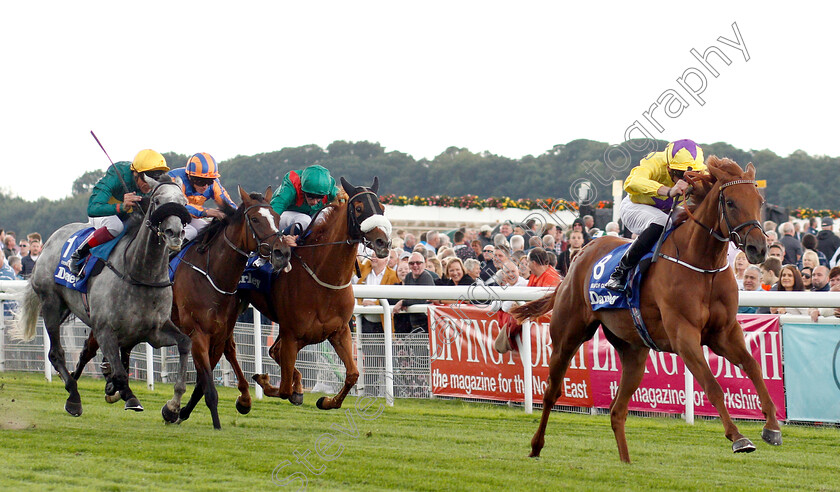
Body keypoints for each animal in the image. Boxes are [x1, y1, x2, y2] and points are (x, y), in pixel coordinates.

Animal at [13, 175, 194, 420]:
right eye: (157, 201)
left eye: (184, 202)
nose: (175, 233)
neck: (139, 273)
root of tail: (50, 240)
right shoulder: (105, 330)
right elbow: (120, 373)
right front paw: (127, 395)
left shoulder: (155, 330)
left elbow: (184, 343)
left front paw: (172, 405)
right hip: (50, 302)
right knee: (56, 353)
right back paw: (73, 396)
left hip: (65, 309)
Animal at [72, 186, 290, 428]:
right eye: (255, 219)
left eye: (277, 218)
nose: (282, 252)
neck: (212, 275)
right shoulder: (198, 333)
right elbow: (207, 384)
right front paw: (211, 421)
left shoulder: (218, 334)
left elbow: (203, 382)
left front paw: (176, 411)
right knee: (88, 350)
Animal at [238, 179, 392, 410]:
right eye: (358, 208)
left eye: (382, 208)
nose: (384, 242)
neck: (324, 282)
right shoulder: (291, 334)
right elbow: (284, 388)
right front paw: (268, 383)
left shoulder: (339, 331)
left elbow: (353, 374)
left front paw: (327, 401)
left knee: (274, 352)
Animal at [512, 157, 780, 462]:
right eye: (732, 202)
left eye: (759, 200)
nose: (758, 248)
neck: (702, 264)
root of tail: (582, 252)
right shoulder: (684, 336)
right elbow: (713, 386)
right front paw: (738, 437)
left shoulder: (724, 333)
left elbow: (753, 367)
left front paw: (772, 426)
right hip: (567, 336)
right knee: (551, 392)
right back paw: (536, 445)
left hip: (634, 351)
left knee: (617, 411)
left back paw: (626, 463)